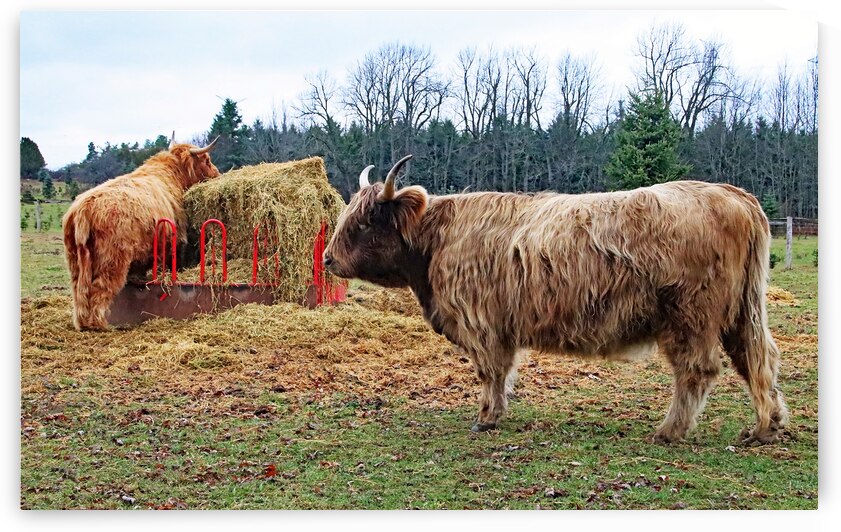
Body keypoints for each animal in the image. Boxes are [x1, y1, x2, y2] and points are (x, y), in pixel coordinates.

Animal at [62, 136, 221, 331]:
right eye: (206, 160)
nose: (217, 174)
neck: (173, 177)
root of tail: (84, 208)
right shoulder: (169, 245)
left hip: (75, 262)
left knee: (79, 291)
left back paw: (82, 323)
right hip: (111, 261)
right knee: (100, 289)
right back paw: (99, 324)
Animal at [323, 154, 788, 445]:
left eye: (366, 221)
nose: (327, 258)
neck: (436, 240)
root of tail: (733, 195)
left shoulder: (481, 323)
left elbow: (489, 372)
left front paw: (486, 417)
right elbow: (502, 372)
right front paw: (495, 413)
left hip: (689, 315)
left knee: (698, 369)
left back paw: (670, 431)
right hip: (743, 311)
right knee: (757, 357)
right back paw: (765, 427)